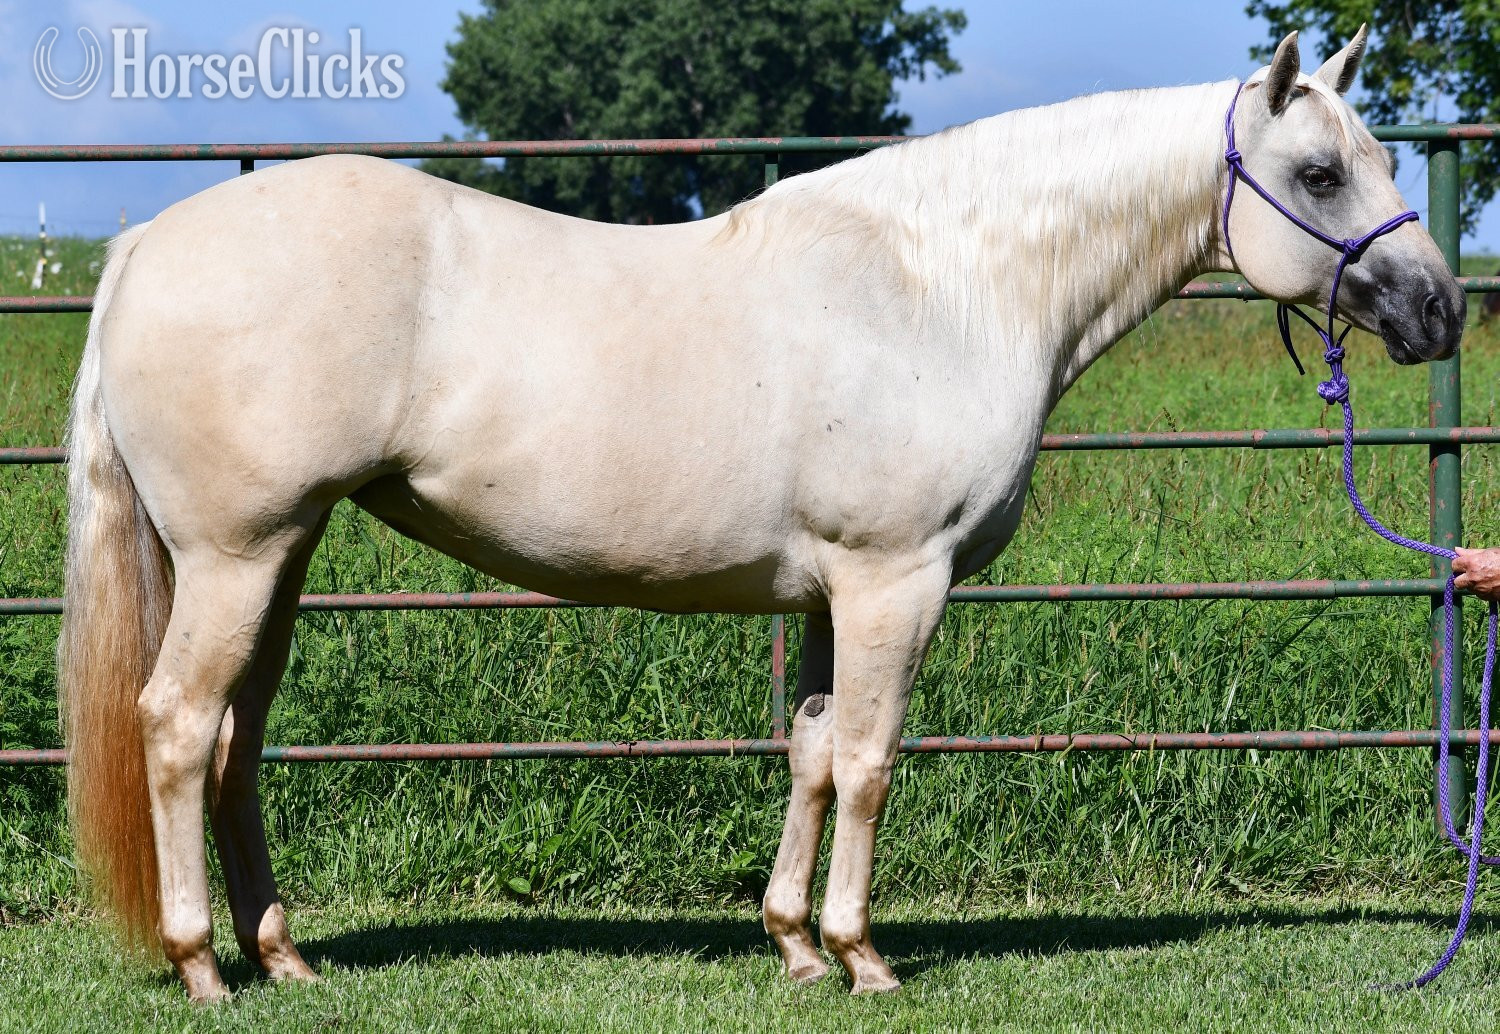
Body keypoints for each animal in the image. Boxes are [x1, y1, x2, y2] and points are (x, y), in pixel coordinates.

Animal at [59, 27, 1463, 1001]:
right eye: (1319, 171)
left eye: (1387, 159)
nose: (1442, 309)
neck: (947, 287)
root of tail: (141, 247)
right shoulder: (898, 578)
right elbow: (873, 758)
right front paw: (862, 954)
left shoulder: (835, 592)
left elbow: (811, 751)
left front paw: (792, 944)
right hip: (237, 553)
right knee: (177, 724)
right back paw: (201, 961)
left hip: (279, 556)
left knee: (238, 735)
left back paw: (284, 954)